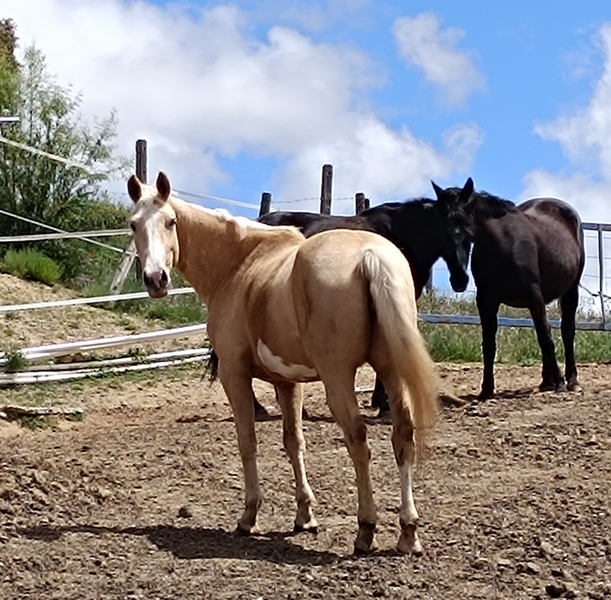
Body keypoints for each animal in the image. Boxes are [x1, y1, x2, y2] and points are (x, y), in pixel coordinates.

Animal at [127, 172, 439, 556]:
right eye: (133, 224)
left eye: (170, 222)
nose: (155, 279)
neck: (239, 263)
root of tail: (370, 255)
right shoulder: (288, 383)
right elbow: (294, 442)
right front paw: (305, 516)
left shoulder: (234, 375)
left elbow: (247, 441)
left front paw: (249, 516)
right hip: (391, 371)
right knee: (403, 435)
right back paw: (408, 532)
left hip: (338, 379)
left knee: (357, 439)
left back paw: (366, 530)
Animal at [432, 177, 585, 399]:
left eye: (465, 226)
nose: (459, 280)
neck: (502, 246)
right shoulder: (486, 300)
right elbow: (489, 344)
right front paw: (486, 389)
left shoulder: (533, 294)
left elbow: (545, 338)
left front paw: (560, 383)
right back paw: (546, 382)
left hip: (570, 290)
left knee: (566, 330)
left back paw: (571, 381)